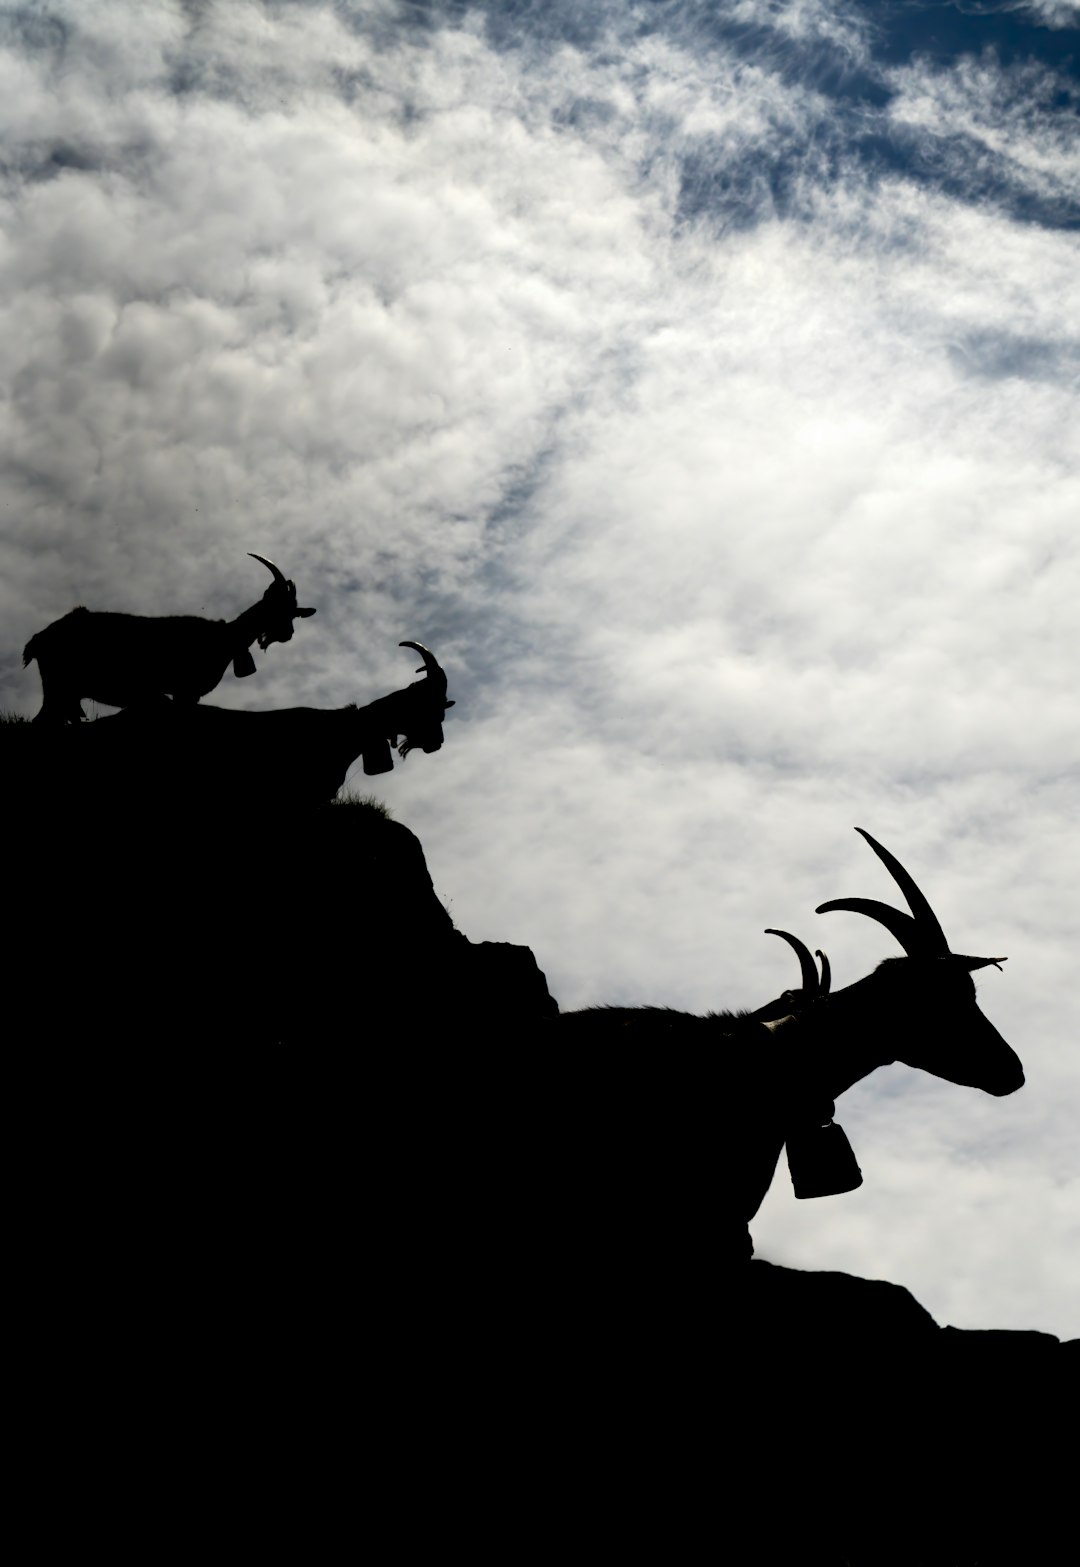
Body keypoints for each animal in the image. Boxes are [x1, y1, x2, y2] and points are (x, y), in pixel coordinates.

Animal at [23, 554, 313, 723]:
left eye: (293, 612)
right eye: (277, 606)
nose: (288, 634)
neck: (225, 637)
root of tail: (38, 639)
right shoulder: (185, 691)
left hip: (64, 692)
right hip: (59, 686)